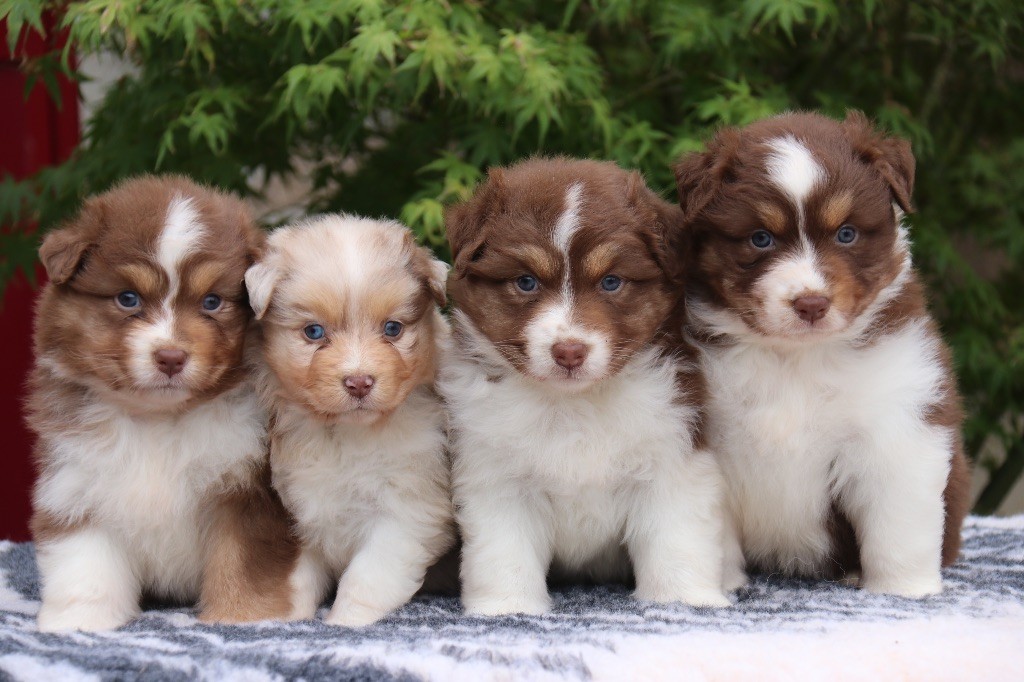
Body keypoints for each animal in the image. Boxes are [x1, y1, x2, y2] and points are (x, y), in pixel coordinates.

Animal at [28, 173, 299, 630]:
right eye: (128, 298)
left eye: (212, 302)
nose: (171, 357)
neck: (158, 418)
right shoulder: (77, 483)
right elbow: (84, 565)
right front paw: (79, 623)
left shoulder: (248, 493)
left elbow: (242, 563)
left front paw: (241, 618)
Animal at [245, 215, 454, 622]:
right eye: (313, 331)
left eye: (393, 329)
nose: (359, 382)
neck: (345, 434)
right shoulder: (301, 509)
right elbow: (297, 579)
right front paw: (287, 617)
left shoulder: (408, 509)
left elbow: (366, 578)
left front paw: (344, 622)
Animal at [440, 156, 729, 614]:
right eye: (526, 282)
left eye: (611, 282)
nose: (569, 351)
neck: (573, 403)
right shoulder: (496, 476)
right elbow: (505, 552)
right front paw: (508, 606)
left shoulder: (671, 455)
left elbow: (676, 540)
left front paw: (684, 598)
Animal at [671, 111, 966, 593]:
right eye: (760, 239)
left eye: (846, 234)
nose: (811, 303)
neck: (794, 358)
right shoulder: (713, 442)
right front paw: (725, 584)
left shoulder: (897, 426)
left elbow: (899, 526)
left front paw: (903, 590)